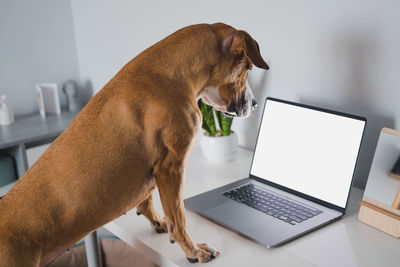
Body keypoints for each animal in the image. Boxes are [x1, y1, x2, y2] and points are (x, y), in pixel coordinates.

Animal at [0, 23, 268, 266]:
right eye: (247, 68)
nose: (255, 104)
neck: (173, 73)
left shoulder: (152, 171)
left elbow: (147, 199)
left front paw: (158, 222)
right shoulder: (171, 169)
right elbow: (179, 218)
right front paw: (193, 251)